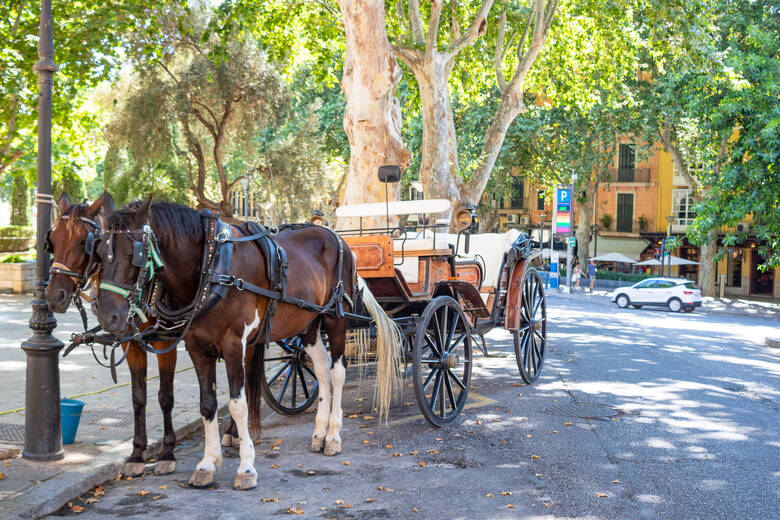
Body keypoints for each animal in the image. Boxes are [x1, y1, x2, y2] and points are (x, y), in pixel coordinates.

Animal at [46, 193, 179, 478]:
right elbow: (138, 397)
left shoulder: (166, 342)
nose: (53, 297)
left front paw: (167, 452)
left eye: (82, 243)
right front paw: (137, 454)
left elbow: (165, 397)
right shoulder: (134, 345)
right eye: (52, 242)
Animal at [95, 197, 402, 490]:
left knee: (338, 372)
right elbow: (207, 405)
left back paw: (334, 436)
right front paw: (207, 465)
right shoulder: (197, 348)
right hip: (309, 324)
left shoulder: (233, 345)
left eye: (133, 253)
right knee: (322, 369)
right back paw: (319, 433)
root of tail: (336, 236)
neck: (210, 265)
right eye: (99, 253)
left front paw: (246, 469)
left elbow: (237, 405)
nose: (109, 317)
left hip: (336, 318)